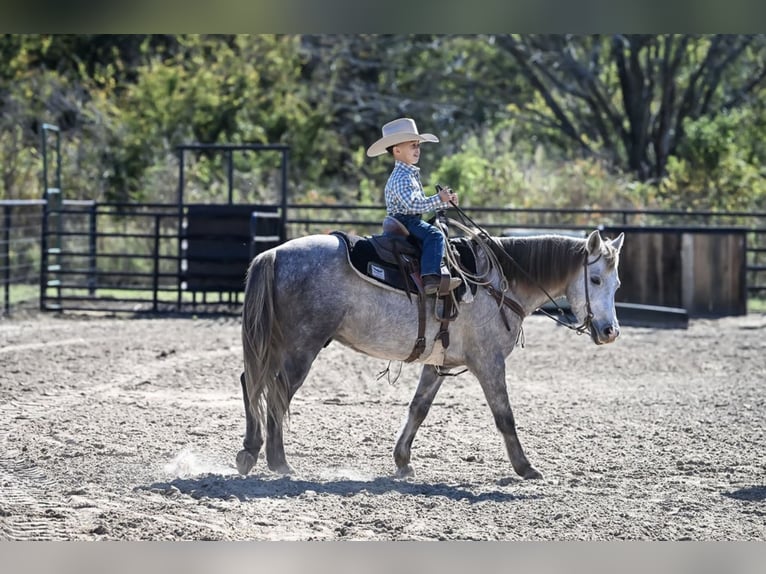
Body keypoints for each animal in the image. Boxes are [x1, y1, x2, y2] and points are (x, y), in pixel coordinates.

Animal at [236, 227, 624, 480]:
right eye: (595, 280)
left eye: (617, 283)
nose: (610, 332)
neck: (499, 284)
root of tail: (273, 253)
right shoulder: (489, 362)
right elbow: (505, 416)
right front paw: (525, 467)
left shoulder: (437, 364)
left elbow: (418, 409)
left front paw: (402, 461)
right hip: (301, 347)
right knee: (277, 393)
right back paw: (278, 461)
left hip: (276, 344)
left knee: (251, 383)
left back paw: (250, 452)